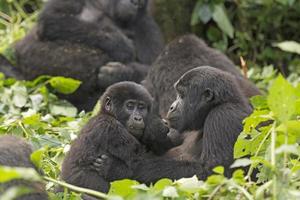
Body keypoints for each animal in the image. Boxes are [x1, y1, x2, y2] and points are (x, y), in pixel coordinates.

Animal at [14, 0, 164, 110]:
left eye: (141, 3)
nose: (136, 2)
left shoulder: (145, 23)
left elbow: (152, 68)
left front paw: (118, 72)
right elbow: (53, 18)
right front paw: (120, 44)